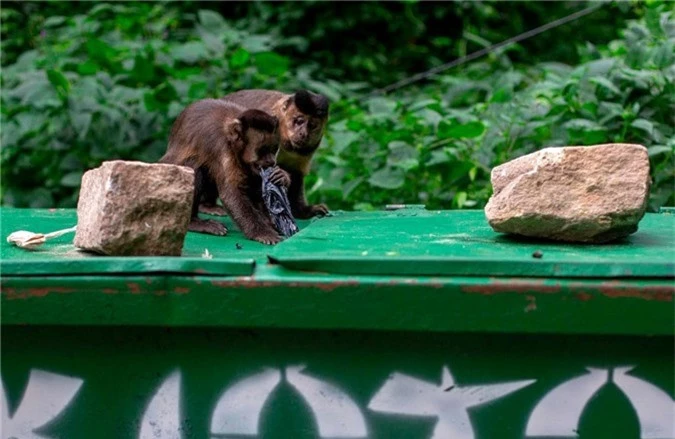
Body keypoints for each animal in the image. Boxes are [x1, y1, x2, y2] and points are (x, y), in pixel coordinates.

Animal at [161, 97, 286, 246]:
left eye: (274, 149)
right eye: (262, 151)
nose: (271, 162)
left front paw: (281, 176)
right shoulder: (222, 147)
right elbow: (231, 193)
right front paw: (262, 232)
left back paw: (208, 206)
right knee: (196, 167)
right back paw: (193, 222)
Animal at [198, 89, 330, 220]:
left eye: (312, 126)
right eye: (299, 121)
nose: (303, 133)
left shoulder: (307, 149)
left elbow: (296, 172)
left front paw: (302, 211)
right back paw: (206, 205)